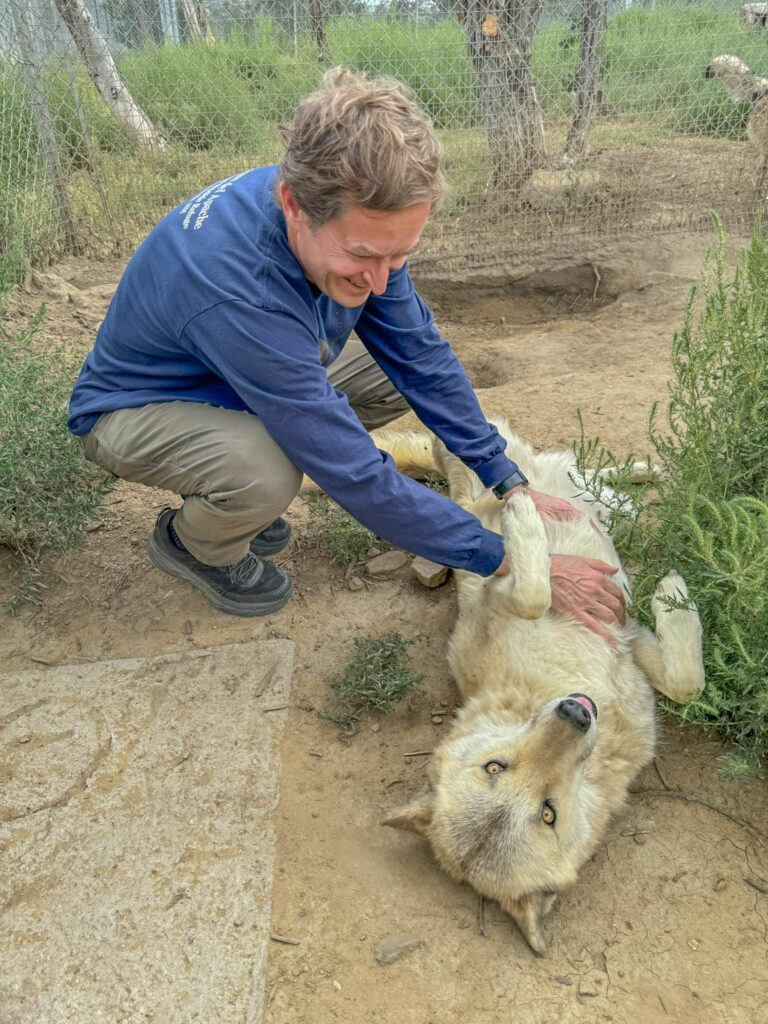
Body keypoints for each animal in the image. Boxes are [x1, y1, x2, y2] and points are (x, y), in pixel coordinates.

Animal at [378, 419, 704, 954]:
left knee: (504, 449)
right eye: (547, 814)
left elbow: (684, 684)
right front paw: (673, 593)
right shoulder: (622, 637)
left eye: (494, 765)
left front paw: (671, 593)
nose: (576, 713)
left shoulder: (617, 628)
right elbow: (536, 594)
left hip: (516, 459)